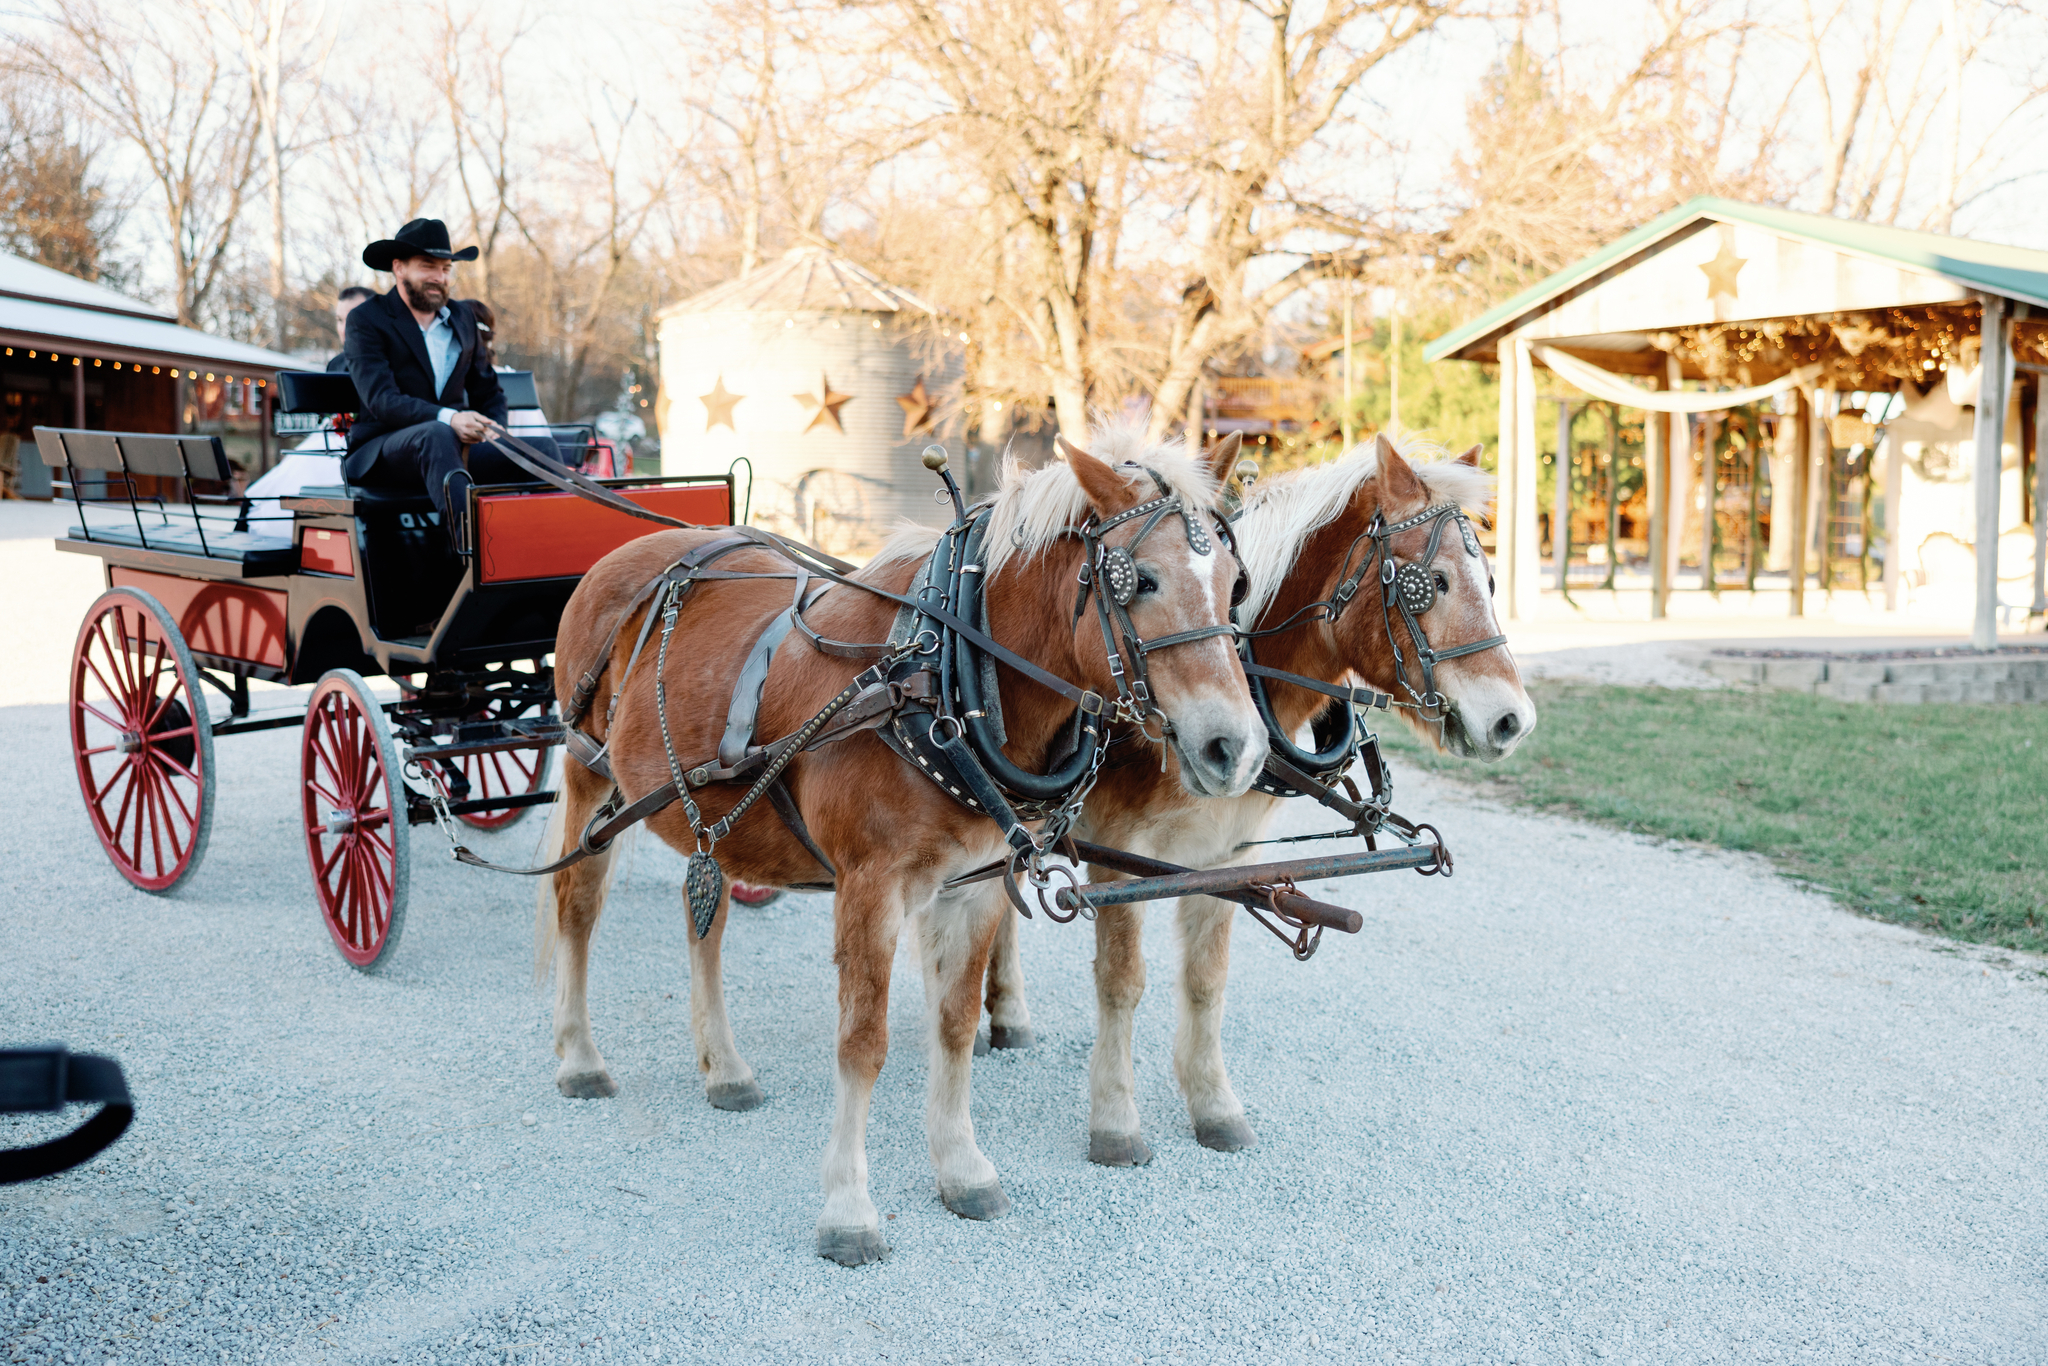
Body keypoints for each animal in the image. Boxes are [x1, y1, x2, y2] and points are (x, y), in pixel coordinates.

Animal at [536, 432, 1253, 1269]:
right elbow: (862, 1042)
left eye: (1235, 584)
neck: (940, 677)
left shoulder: (973, 883)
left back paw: (724, 1067)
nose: (1234, 747)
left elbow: (955, 1025)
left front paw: (962, 1167)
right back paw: (579, 1057)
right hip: (589, 772)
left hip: (706, 811)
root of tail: (626, 552)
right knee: (576, 908)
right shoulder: (869, 885)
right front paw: (848, 1208)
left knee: (702, 914)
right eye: (1141, 580)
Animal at [978, 430, 1540, 1163]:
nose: (1512, 720)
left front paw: (1214, 1106)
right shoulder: (1118, 853)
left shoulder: (1228, 853)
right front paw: (1116, 1122)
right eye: (1435, 583)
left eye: (1492, 583)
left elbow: (1206, 979)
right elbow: (1122, 980)